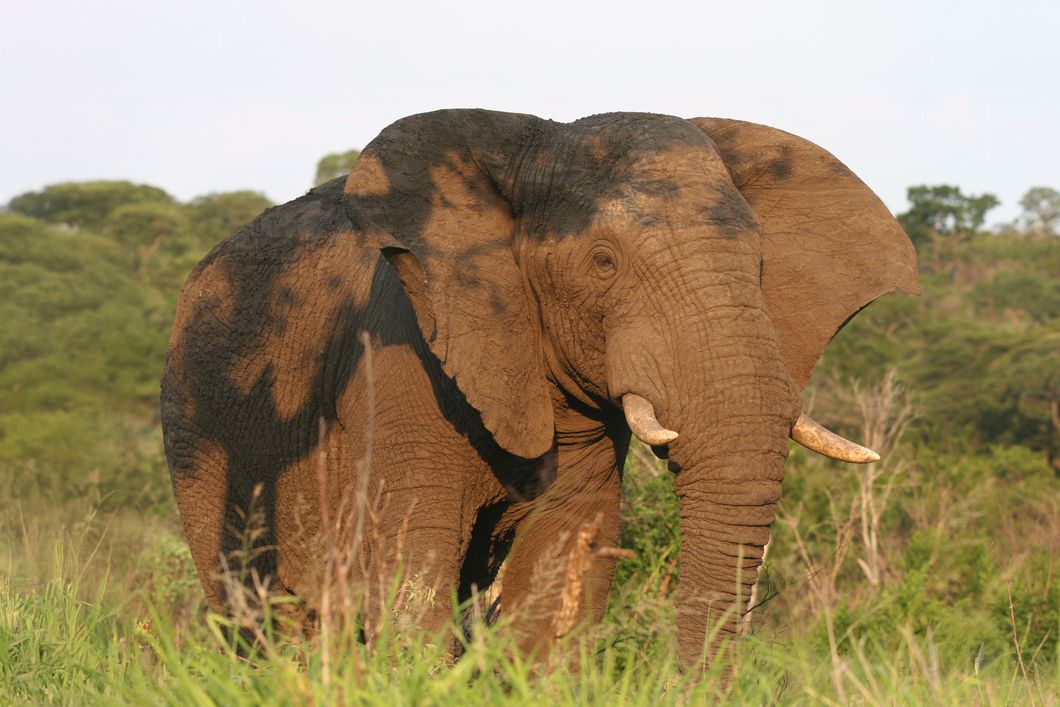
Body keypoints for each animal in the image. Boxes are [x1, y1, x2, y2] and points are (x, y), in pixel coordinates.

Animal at [160, 108, 919, 671]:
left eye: (758, 265)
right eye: (604, 262)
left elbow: (563, 564)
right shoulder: (400, 362)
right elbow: (412, 566)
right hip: (200, 432)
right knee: (265, 612)